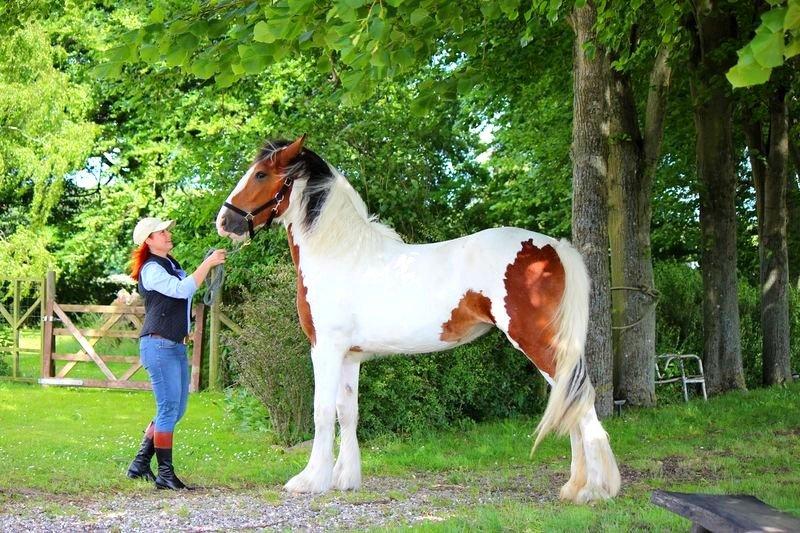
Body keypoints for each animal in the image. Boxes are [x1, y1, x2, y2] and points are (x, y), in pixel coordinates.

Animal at [216, 135, 620, 500]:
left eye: (261, 174)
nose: (224, 221)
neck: (340, 253)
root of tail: (555, 248)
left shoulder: (326, 349)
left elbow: (322, 411)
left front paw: (310, 480)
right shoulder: (350, 356)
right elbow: (348, 412)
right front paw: (345, 479)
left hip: (538, 342)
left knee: (581, 404)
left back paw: (594, 491)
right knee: (571, 405)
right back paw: (574, 487)